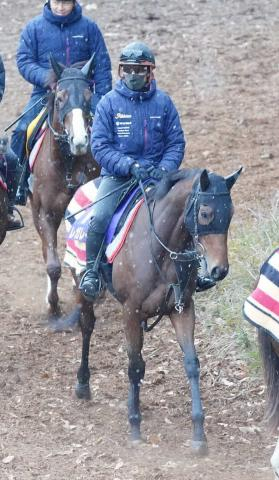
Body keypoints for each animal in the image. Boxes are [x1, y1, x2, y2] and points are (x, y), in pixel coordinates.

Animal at [30, 55, 100, 318]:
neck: (67, 165)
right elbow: (52, 265)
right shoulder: (44, 214)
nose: (79, 141)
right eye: (60, 98)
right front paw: (52, 305)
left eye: (89, 97)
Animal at [63, 167, 243, 456]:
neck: (160, 247)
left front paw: (198, 435)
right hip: (80, 283)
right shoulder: (130, 312)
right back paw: (83, 384)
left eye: (231, 213)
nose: (219, 270)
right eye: (205, 213)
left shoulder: (183, 309)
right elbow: (134, 366)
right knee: (87, 326)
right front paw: (135, 428)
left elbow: (191, 364)